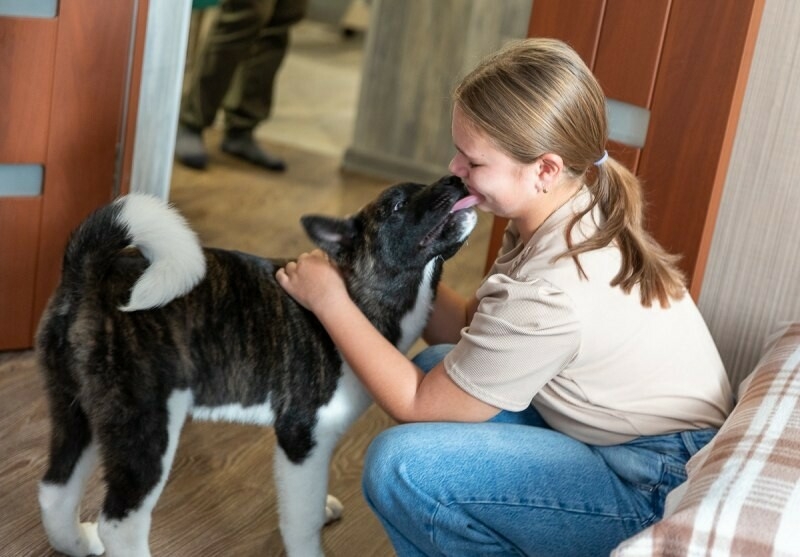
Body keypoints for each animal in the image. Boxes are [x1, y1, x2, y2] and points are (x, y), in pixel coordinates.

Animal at [36, 175, 476, 556]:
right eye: (397, 206)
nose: (456, 180)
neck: (355, 294)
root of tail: (87, 273)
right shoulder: (302, 437)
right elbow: (301, 520)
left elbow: (311, 499)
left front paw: (324, 506)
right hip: (146, 429)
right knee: (120, 523)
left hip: (79, 411)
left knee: (56, 489)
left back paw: (77, 543)